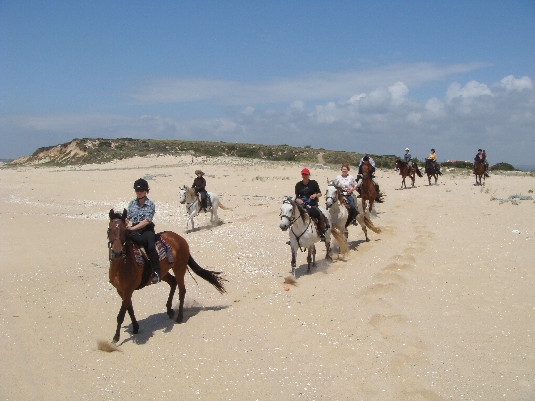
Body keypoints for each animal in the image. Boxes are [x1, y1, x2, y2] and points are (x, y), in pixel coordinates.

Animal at [108, 208, 227, 342]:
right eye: (109, 230)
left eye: (124, 231)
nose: (117, 252)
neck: (122, 266)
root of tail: (179, 238)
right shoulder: (121, 290)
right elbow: (129, 308)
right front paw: (135, 327)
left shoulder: (128, 290)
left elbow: (121, 314)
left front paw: (116, 337)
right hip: (163, 272)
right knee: (173, 282)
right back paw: (170, 310)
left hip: (179, 268)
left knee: (182, 290)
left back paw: (179, 317)